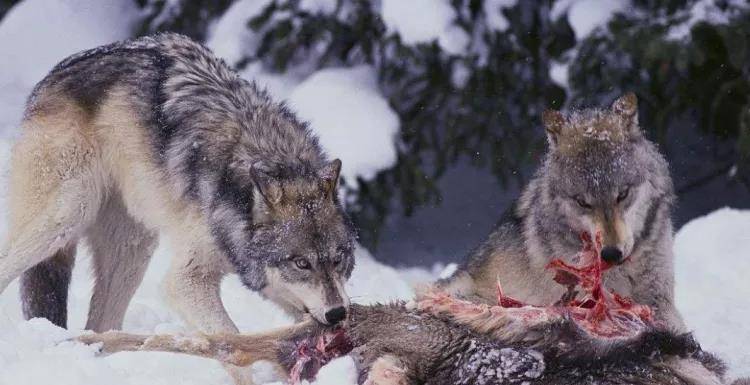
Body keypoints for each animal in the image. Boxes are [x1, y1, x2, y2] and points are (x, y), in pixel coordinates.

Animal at [0, 33, 356, 360]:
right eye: (302, 263)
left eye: (339, 258)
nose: (338, 313)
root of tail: (53, 75)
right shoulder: (186, 279)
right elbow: (228, 336)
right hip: (66, 214)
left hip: (133, 249)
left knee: (100, 326)